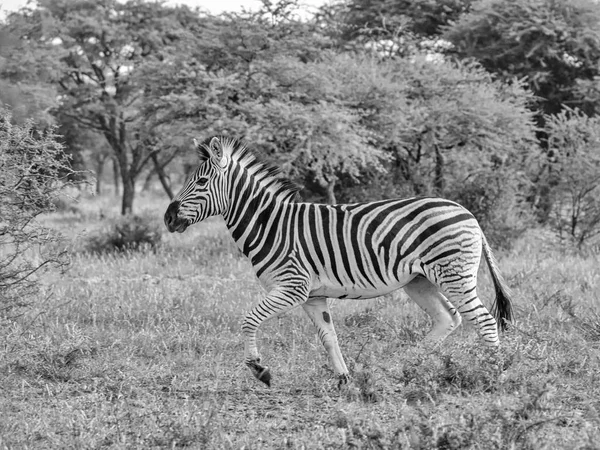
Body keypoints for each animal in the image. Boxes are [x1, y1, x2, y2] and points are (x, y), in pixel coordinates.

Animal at [165, 134, 516, 386]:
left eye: (200, 182)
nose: (168, 218)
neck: (271, 224)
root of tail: (467, 213)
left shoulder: (292, 287)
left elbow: (249, 319)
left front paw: (259, 369)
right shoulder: (312, 295)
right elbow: (328, 337)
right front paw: (344, 378)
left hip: (452, 274)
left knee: (483, 320)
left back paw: (494, 376)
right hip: (419, 280)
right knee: (448, 318)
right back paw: (400, 366)